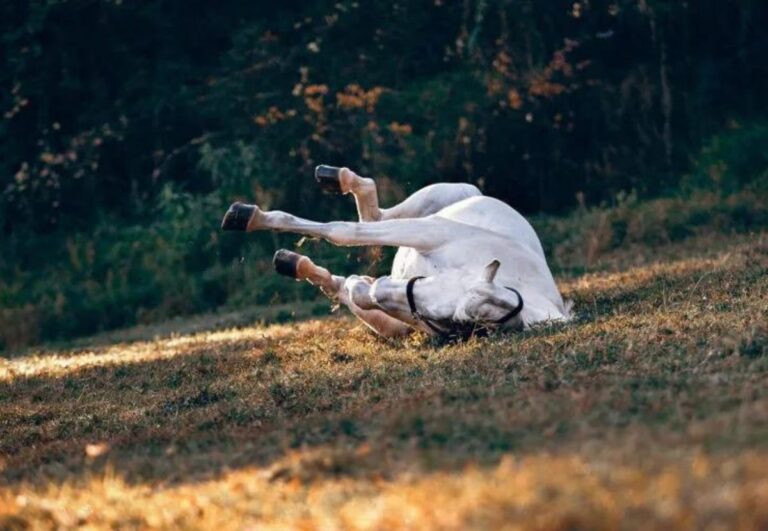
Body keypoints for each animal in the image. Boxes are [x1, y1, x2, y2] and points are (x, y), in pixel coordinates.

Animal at [222, 168, 568, 338]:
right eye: (458, 286)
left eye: (455, 320)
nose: (383, 288)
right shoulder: (430, 232)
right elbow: (344, 232)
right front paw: (256, 217)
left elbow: (354, 289)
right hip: (450, 198)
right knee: (372, 217)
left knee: (344, 275)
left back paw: (294, 262)